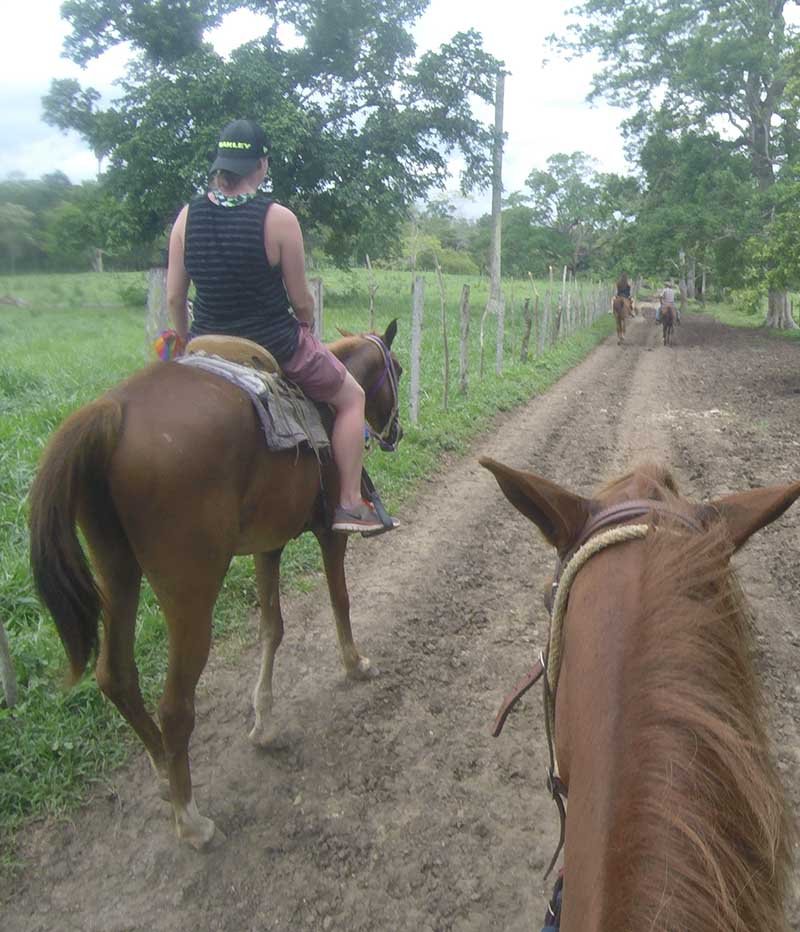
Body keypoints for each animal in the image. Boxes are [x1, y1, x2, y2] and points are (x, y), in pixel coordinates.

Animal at [28, 322, 404, 852]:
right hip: (191, 589)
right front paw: (355, 664)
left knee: (116, 676)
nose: (396, 432)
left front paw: (264, 723)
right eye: (399, 371)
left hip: (116, 569)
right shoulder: (330, 534)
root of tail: (115, 412)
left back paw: (165, 774)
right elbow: (340, 600)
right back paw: (191, 819)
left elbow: (272, 628)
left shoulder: (269, 545)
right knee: (174, 706)